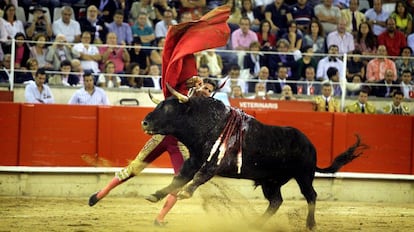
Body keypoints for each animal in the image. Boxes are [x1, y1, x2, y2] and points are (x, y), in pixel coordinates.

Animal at [141, 89, 368, 230]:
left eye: (168, 108)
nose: (145, 122)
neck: (205, 123)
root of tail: (309, 144)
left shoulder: (214, 164)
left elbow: (197, 178)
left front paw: (185, 193)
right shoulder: (194, 161)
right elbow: (178, 179)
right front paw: (156, 195)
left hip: (304, 175)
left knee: (311, 195)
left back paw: (310, 224)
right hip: (271, 181)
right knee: (276, 201)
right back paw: (256, 224)